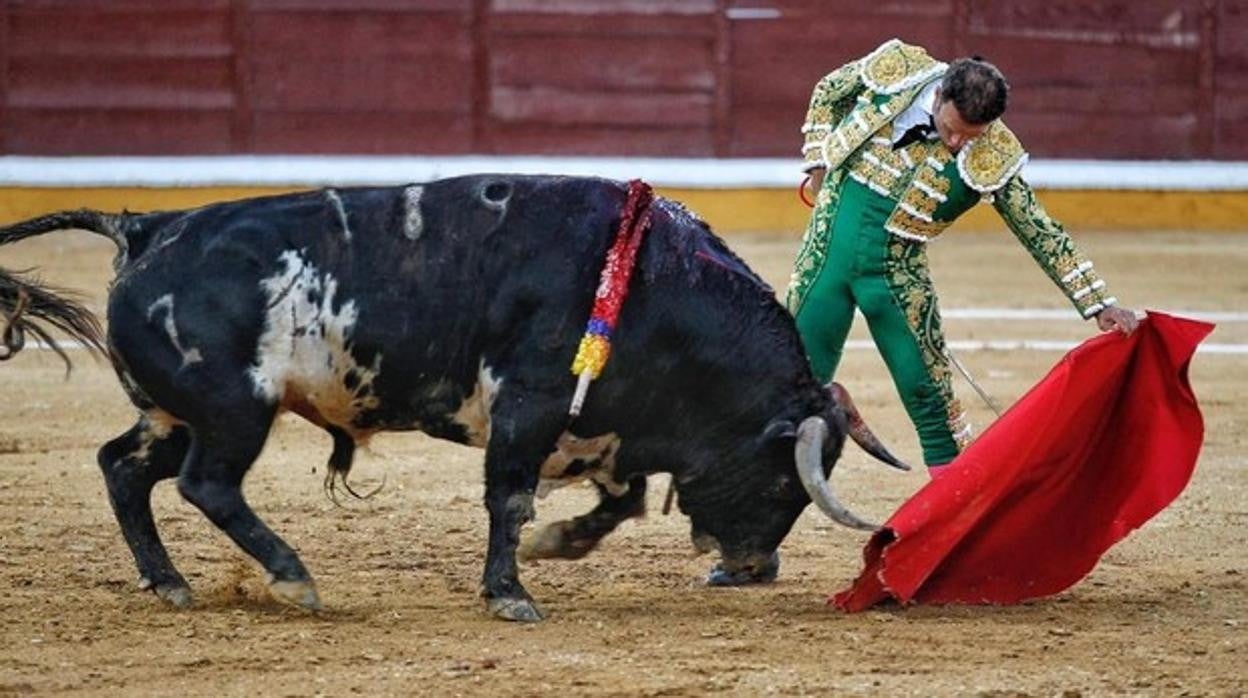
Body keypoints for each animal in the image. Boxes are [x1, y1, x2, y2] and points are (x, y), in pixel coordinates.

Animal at [0, 176, 903, 621]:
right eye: (788, 480)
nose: (751, 568)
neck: (649, 283)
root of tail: (146, 228)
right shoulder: (529, 404)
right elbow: (509, 497)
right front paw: (512, 593)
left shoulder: (598, 424)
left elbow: (619, 500)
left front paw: (556, 546)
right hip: (232, 411)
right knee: (206, 484)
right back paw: (294, 579)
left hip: (172, 413)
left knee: (123, 468)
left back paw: (170, 584)